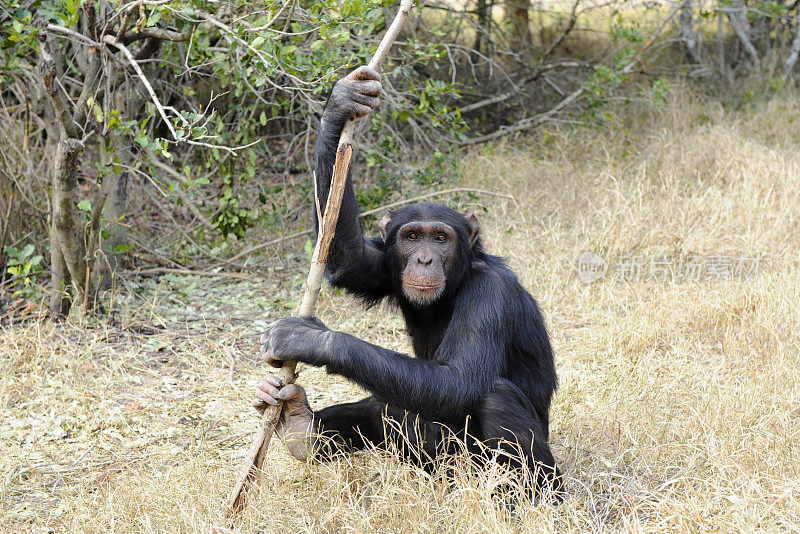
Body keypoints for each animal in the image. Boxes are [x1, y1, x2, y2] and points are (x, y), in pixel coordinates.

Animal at [256, 66, 564, 498]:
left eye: (441, 238)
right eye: (412, 237)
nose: (424, 259)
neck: (457, 282)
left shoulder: (491, 294)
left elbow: (458, 380)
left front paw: (309, 339)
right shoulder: (386, 262)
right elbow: (348, 258)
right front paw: (342, 103)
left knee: (493, 396)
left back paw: (529, 499)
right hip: (432, 465)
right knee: (383, 407)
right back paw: (300, 426)